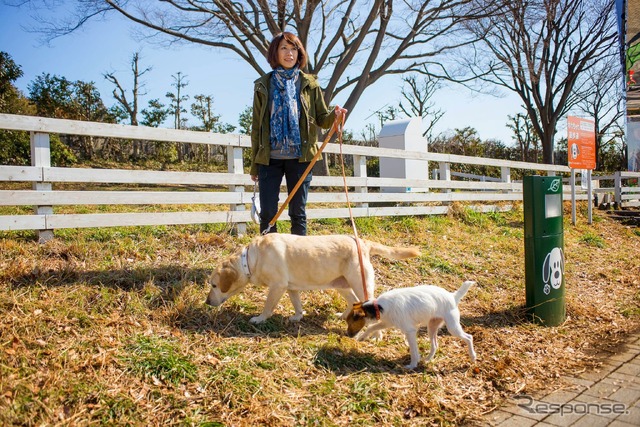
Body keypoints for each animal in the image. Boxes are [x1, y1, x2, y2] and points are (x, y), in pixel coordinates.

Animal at [344, 282, 476, 370]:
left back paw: (473, 357)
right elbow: (372, 327)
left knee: (469, 337)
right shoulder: (387, 322)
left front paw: (412, 365)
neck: (377, 306)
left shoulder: (410, 331)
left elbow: (413, 350)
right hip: (432, 327)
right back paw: (427, 359)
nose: (347, 335)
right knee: (435, 345)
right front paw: (363, 337)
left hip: (452, 327)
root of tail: (453, 296)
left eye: (351, 322)